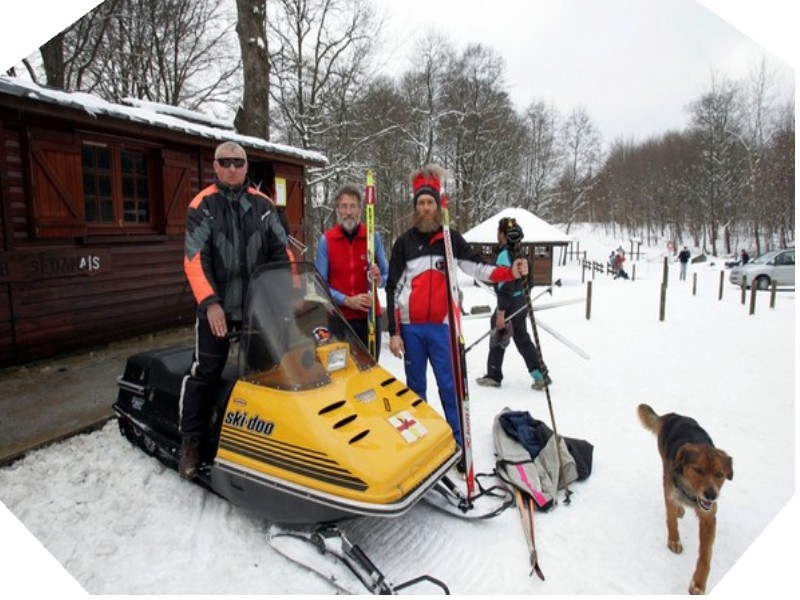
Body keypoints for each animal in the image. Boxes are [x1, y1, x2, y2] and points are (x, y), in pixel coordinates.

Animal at [640, 404, 736, 596]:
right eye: (698, 470)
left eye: (719, 474)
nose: (711, 495)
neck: (691, 494)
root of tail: (673, 415)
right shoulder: (670, 494)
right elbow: (671, 521)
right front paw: (674, 541)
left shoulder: (709, 517)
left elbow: (705, 556)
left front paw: (698, 584)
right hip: (664, 464)